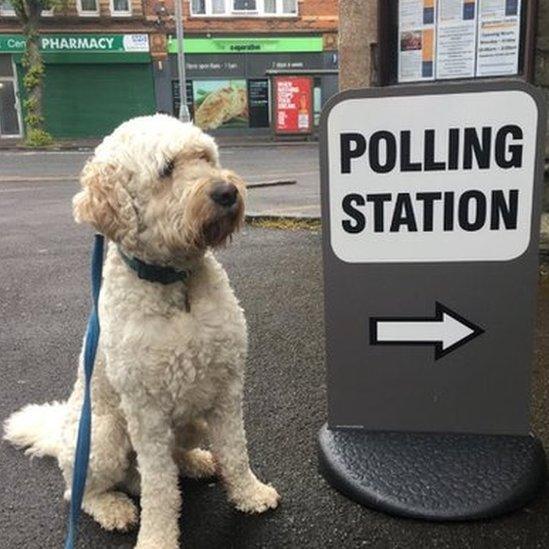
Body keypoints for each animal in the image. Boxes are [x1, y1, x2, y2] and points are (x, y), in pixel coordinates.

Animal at [2, 113, 278, 544]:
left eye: (205, 156)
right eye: (166, 169)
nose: (227, 191)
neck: (174, 283)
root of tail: (59, 434)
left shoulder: (227, 387)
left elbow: (235, 450)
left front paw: (250, 493)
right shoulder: (145, 411)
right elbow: (160, 488)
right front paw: (157, 540)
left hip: (191, 422)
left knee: (167, 463)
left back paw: (196, 462)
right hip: (102, 436)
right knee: (83, 491)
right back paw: (113, 508)